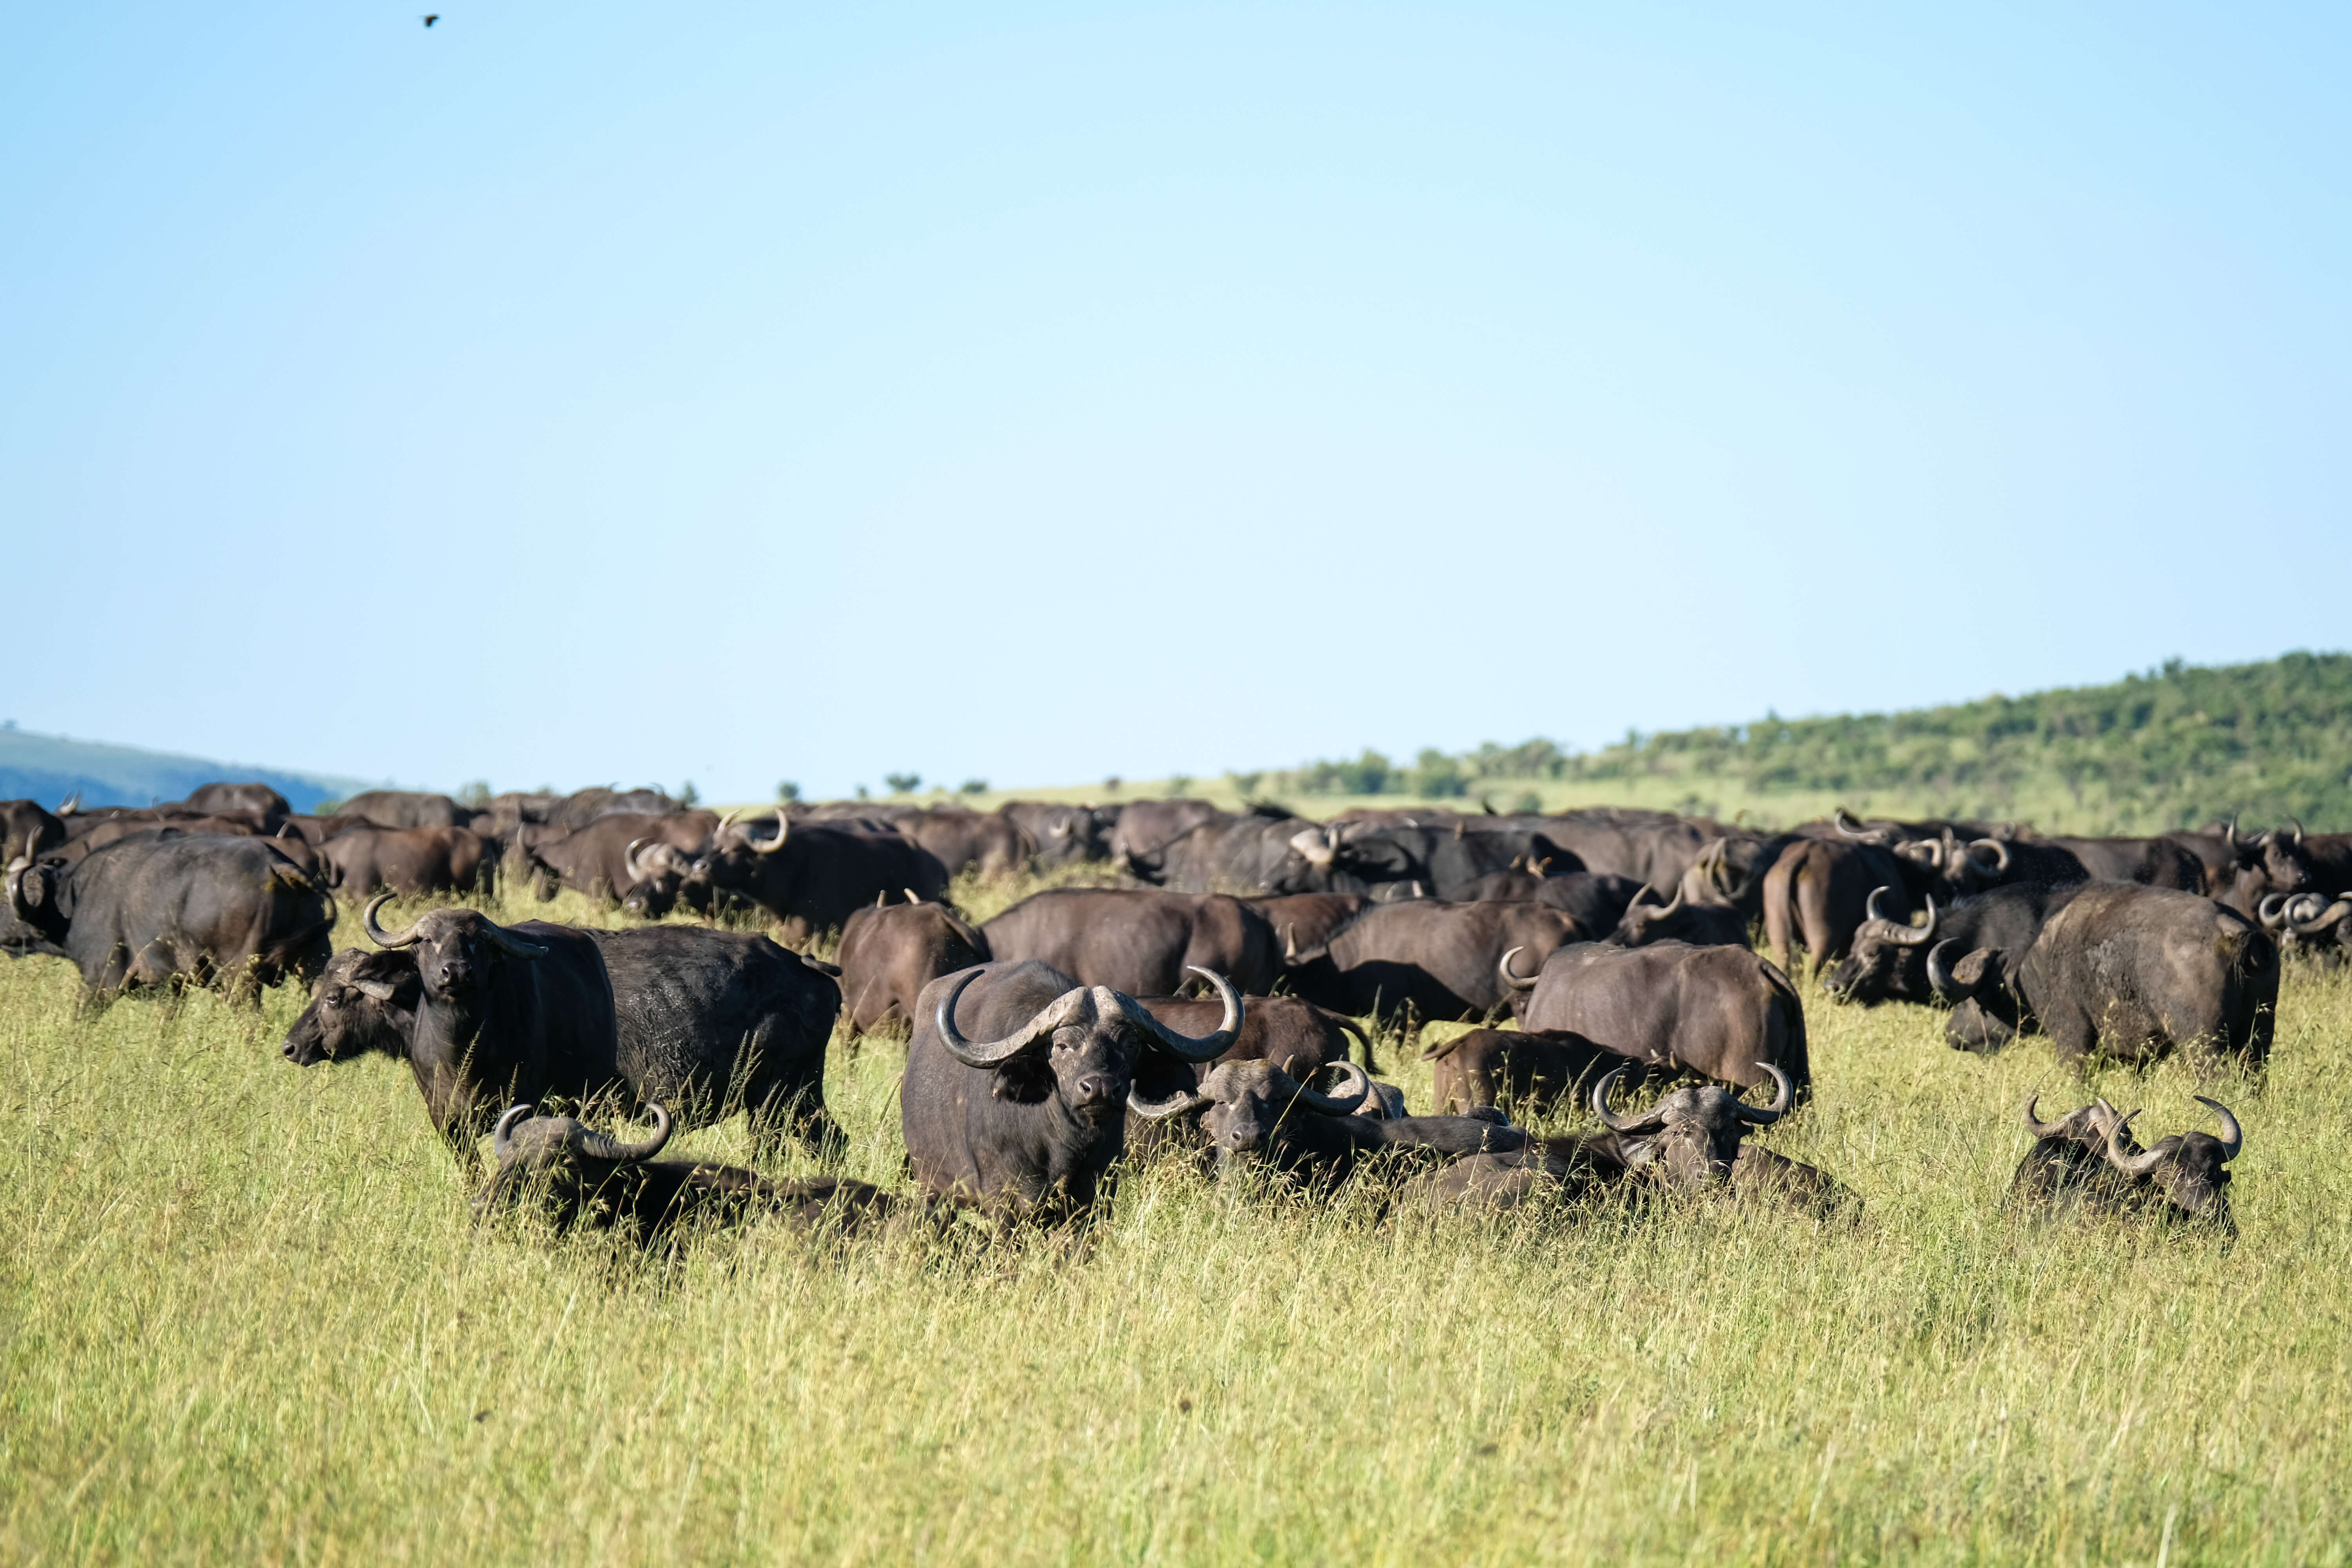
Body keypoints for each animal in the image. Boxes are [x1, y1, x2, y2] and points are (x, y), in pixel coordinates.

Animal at [894, 959, 1242, 1222]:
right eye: (1062, 1046)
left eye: (1130, 1044)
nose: (1100, 1088)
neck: (1058, 1143)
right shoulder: (1005, 1203)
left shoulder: (1095, 1200)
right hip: (931, 1186)